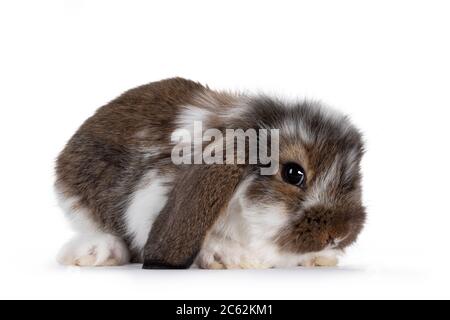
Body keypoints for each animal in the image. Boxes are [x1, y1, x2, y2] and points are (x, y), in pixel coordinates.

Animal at [56, 77, 366, 268]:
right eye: (293, 173)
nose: (339, 234)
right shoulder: (148, 198)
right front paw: (230, 257)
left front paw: (319, 259)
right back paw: (96, 253)